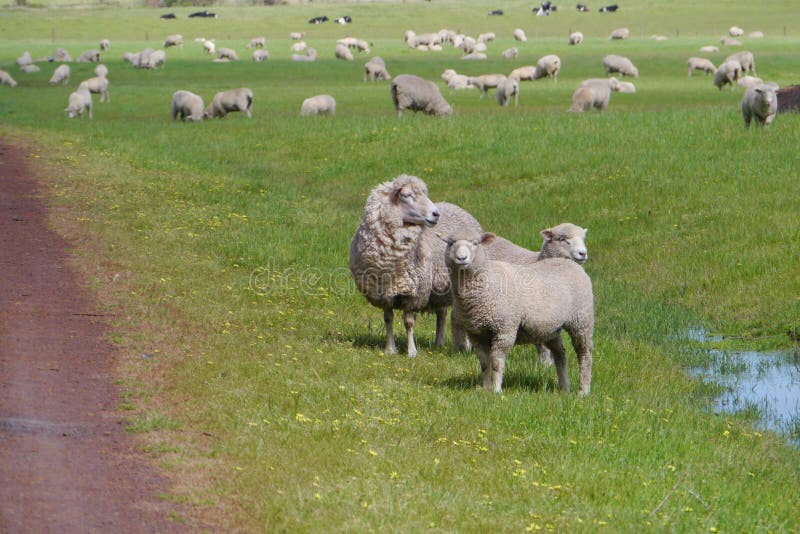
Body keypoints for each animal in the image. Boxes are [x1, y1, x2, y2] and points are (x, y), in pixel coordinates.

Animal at [348, 177, 482, 360]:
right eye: (408, 195)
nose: (436, 214)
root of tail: (456, 207)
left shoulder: (412, 292)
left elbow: (408, 322)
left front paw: (411, 352)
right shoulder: (383, 292)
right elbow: (388, 319)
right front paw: (390, 349)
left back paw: (467, 346)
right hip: (439, 287)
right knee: (442, 314)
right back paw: (439, 343)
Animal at [444, 230, 592, 398]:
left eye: (476, 243)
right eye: (450, 243)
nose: (462, 258)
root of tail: (570, 263)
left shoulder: (505, 330)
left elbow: (497, 362)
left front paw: (496, 390)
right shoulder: (476, 333)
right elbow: (484, 363)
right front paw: (485, 389)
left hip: (582, 320)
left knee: (585, 354)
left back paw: (583, 390)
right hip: (550, 329)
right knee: (561, 354)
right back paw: (564, 387)